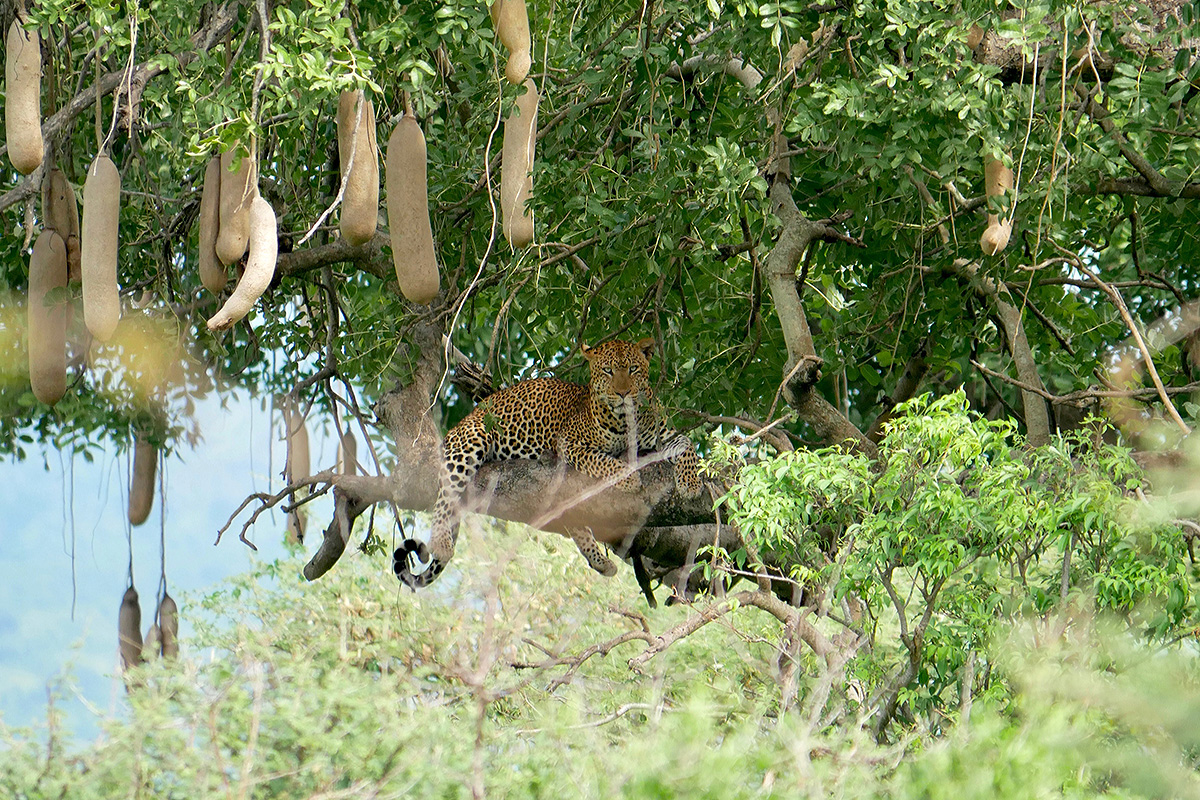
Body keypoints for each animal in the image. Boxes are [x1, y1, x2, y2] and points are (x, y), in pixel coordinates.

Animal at [393, 338, 700, 587]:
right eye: (608, 371)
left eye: (634, 369)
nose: (623, 393)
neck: (626, 420)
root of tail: (464, 420)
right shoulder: (571, 443)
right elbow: (603, 460)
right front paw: (629, 478)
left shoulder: (664, 436)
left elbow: (688, 445)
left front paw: (691, 484)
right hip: (471, 440)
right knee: (446, 493)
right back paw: (442, 543)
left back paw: (600, 561)